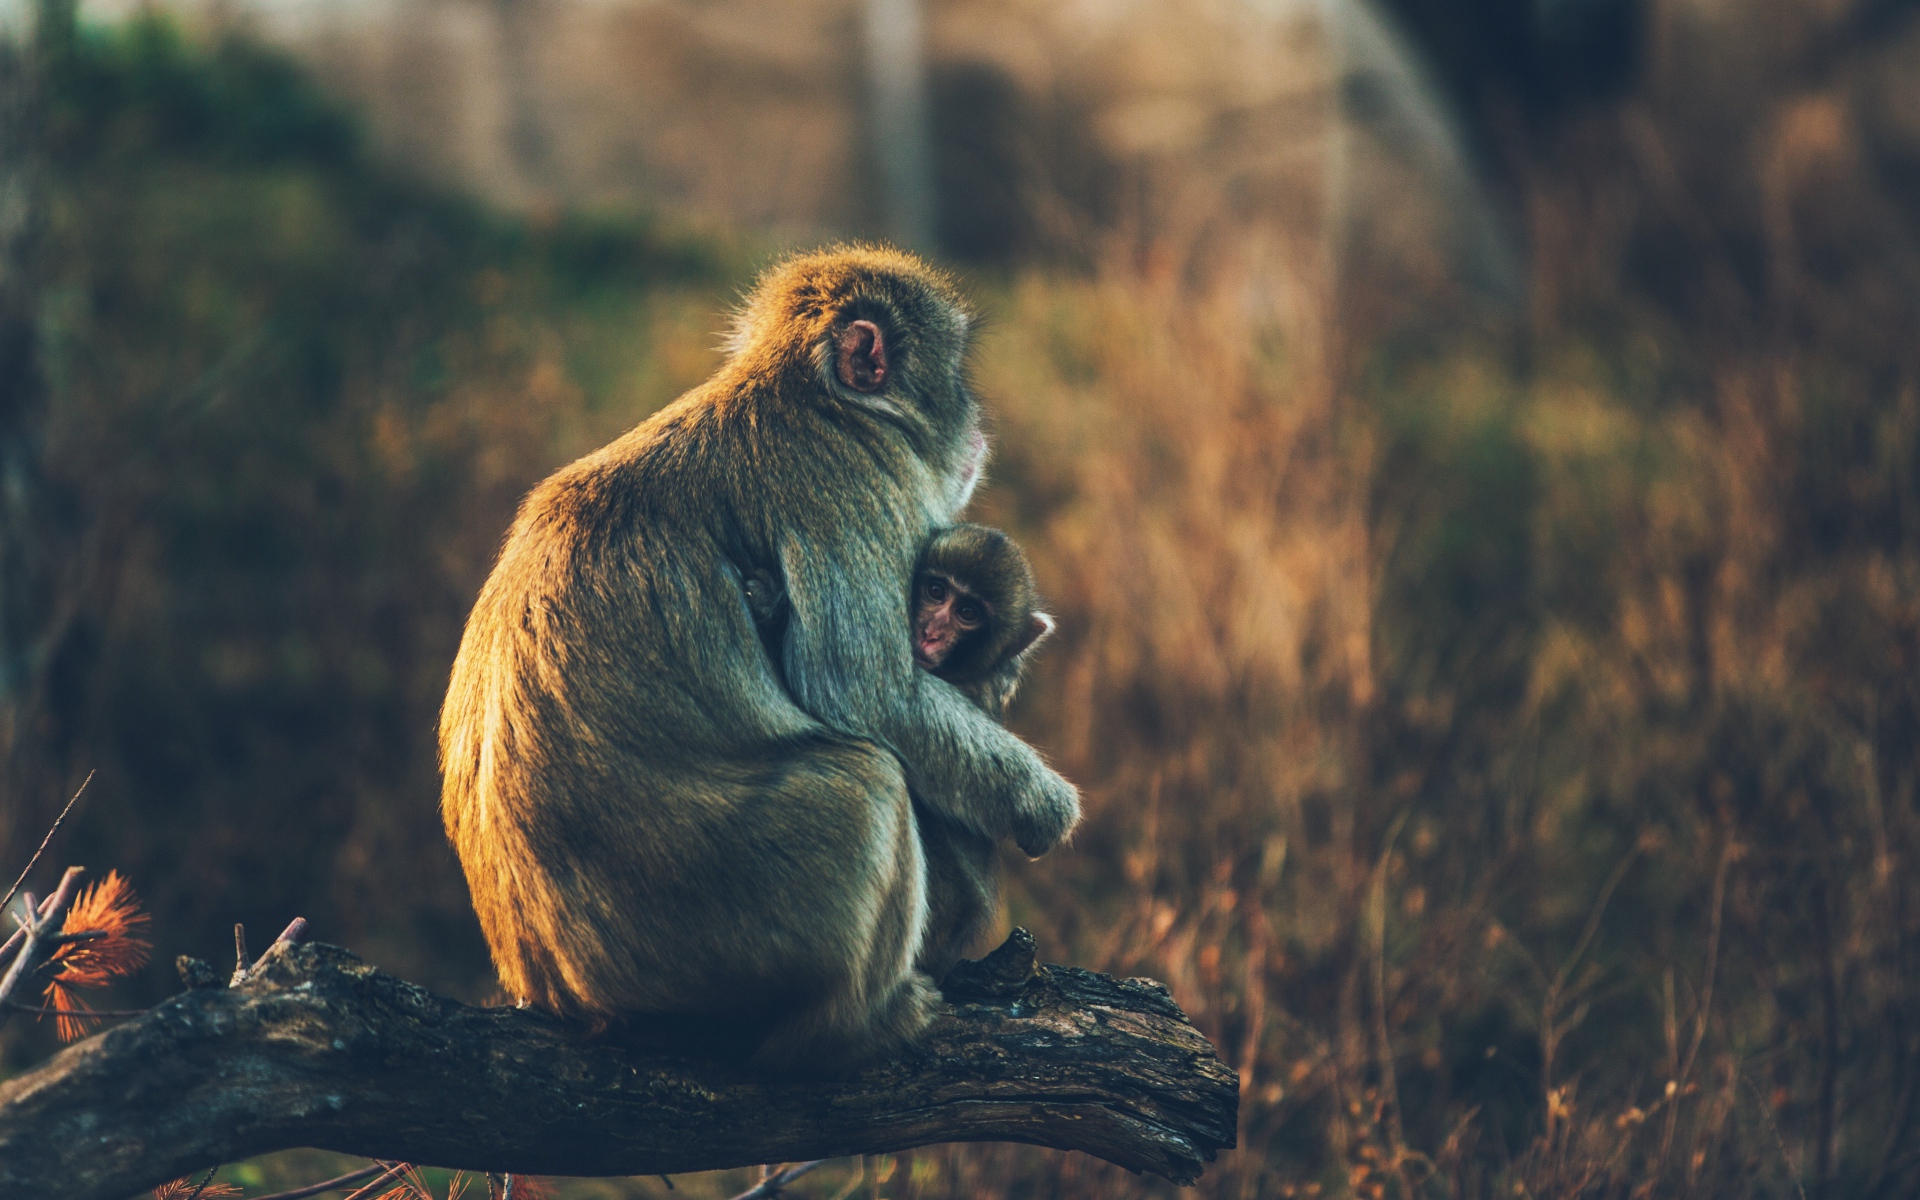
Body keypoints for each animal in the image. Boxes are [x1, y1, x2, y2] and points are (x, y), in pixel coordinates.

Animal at [438, 247, 1081, 1071]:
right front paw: (1045, 807)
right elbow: (868, 695)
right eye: (956, 371)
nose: (977, 426)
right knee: (869, 781)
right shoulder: (849, 484)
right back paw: (854, 1026)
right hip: (728, 933)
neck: (815, 397)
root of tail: (563, 993)